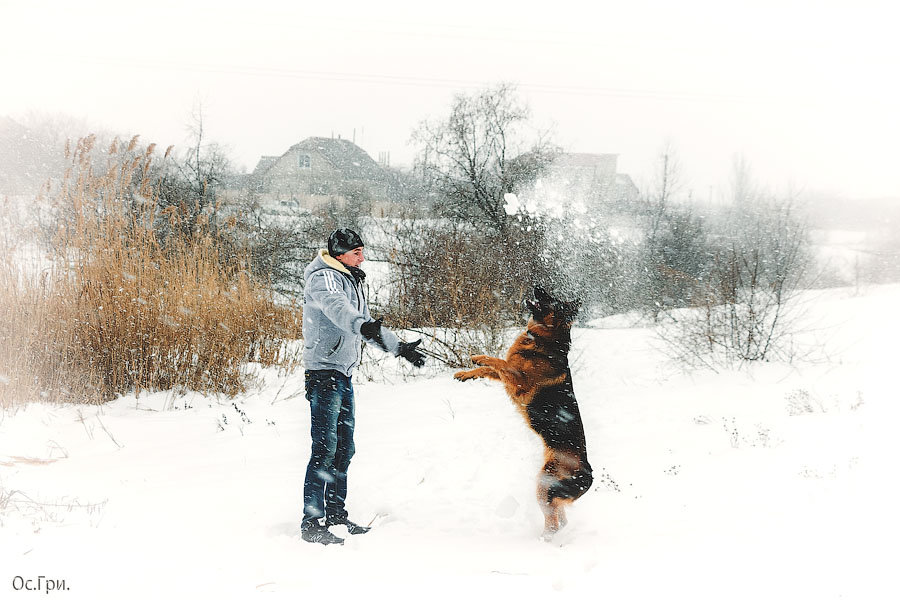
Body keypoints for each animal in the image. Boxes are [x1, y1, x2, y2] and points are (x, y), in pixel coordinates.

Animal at [454, 286, 596, 540]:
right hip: (548, 489)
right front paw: (466, 373)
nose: (537, 287)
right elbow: (489, 368)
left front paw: (478, 356)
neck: (544, 338)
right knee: (561, 519)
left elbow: (497, 360)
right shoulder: (507, 377)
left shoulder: (519, 380)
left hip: (543, 484)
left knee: (554, 523)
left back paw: (541, 541)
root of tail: (588, 474)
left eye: (552, 300)